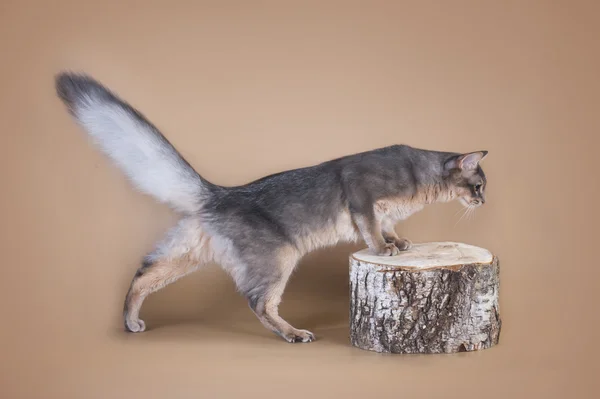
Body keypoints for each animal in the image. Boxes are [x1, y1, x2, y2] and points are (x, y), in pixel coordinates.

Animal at [55, 72, 488, 344]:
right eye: (480, 185)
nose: (483, 201)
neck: (422, 178)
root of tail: (219, 194)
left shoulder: (383, 213)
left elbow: (386, 226)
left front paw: (399, 244)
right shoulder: (361, 190)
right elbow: (370, 228)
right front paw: (383, 250)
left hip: (187, 253)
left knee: (143, 273)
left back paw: (130, 321)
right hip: (277, 258)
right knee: (259, 302)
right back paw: (293, 333)